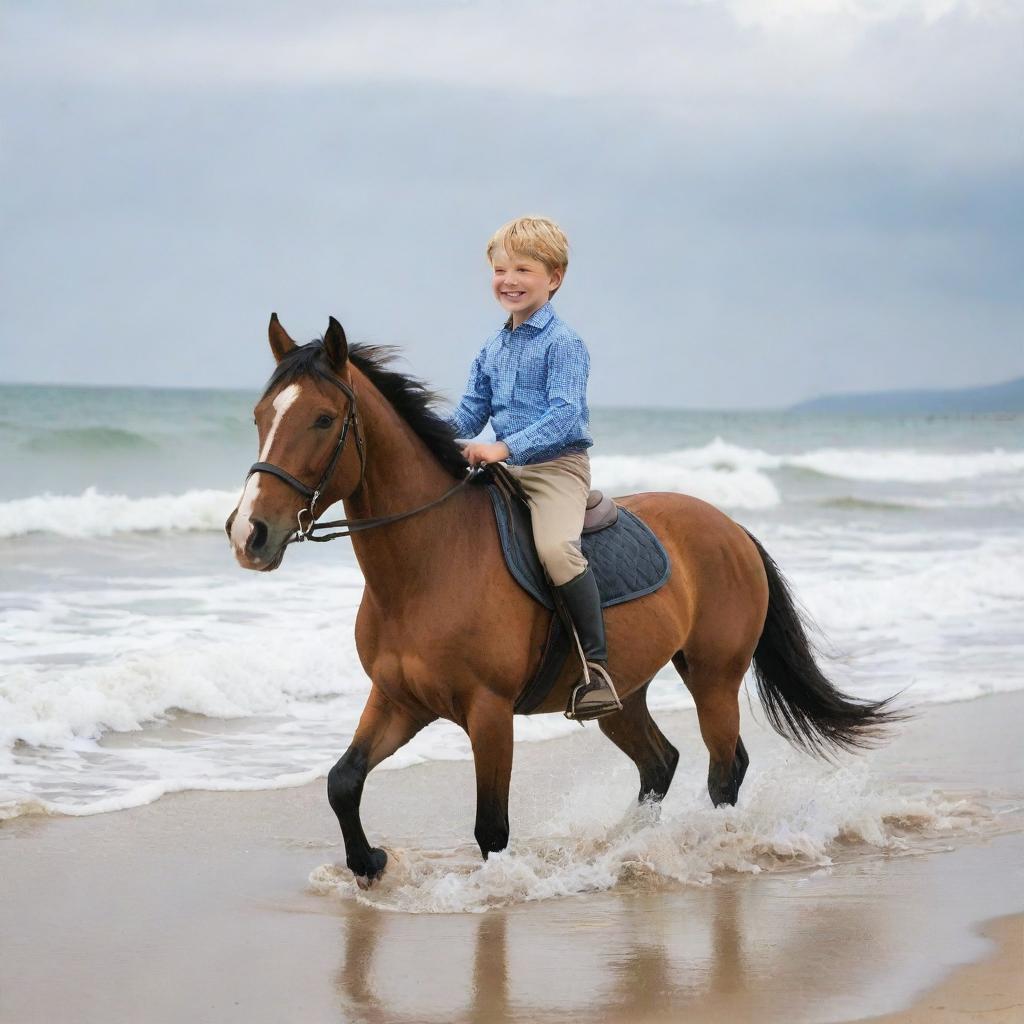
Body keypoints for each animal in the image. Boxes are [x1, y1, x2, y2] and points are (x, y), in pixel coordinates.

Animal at [226, 315, 897, 884]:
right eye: (260, 415)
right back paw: (626, 850)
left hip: (714, 677)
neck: (426, 567)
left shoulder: (488, 712)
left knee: (724, 767)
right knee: (661, 762)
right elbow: (343, 780)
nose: (248, 534)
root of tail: (730, 527)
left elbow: (491, 828)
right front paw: (369, 862)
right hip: (624, 694)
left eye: (320, 419)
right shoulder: (398, 700)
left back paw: (709, 847)